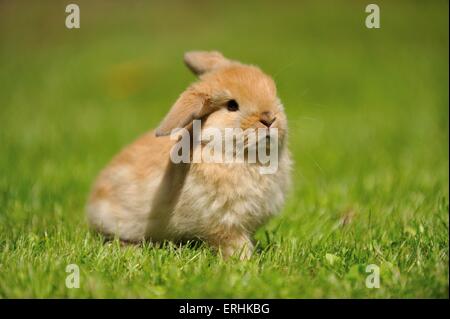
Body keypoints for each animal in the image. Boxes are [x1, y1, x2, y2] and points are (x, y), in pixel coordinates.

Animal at [86, 50, 292, 260]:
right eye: (232, 105)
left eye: (272, 91)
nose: (269, 119)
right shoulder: (223, 223)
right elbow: (234, 243)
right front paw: (244, 260)